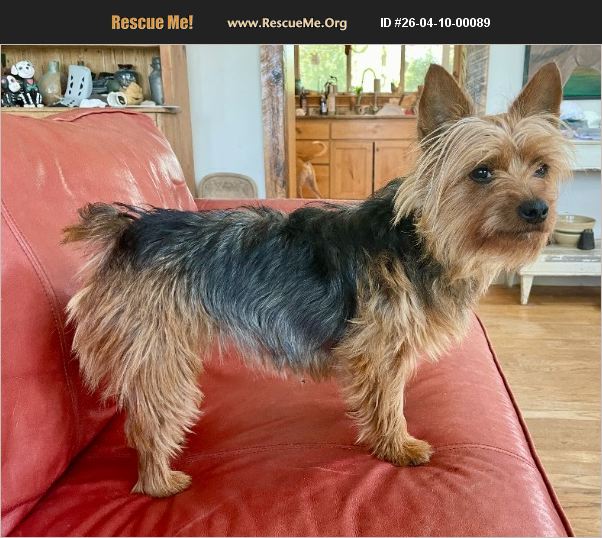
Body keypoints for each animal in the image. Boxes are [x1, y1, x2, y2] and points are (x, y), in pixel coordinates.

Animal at [63, 63, 571, 498]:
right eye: (481, 172)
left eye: (542, 169)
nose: (538, 209)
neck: (422, 240)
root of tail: (130, 229)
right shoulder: (380, 349)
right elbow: (390, 402)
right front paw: (398, 447)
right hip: (158, 353)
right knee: (150, 421)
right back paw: (160, 481)